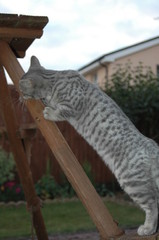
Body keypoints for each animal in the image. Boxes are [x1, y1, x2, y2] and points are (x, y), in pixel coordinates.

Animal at [19, 55, 159, 236]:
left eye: (21, 90)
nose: (20, 97)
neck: (54, 79)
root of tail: (151, 145)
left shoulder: (72, 105)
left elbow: (59, 112)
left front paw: (48, 111)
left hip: (132, 182)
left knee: (152, 204)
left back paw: (147, 228)